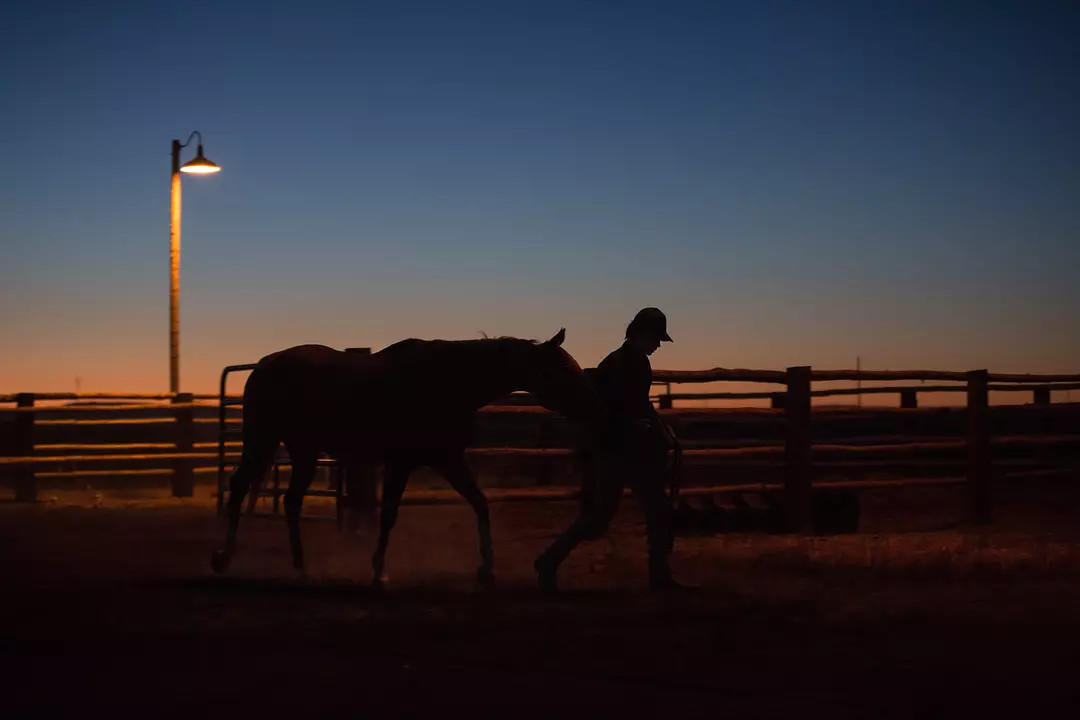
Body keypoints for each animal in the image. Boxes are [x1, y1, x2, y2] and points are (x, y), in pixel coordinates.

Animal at [208, 330, 600, 587]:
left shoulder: (448, 461)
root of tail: (264, 364)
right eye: (563, 369)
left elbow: (480, 503)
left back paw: (300, 566)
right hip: (262, 441)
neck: (445, 383)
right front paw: (379, 571)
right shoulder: (400, 464)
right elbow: (389, 516)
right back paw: (224, 558)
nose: (594, 406)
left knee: (290, 501)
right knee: (240, 486)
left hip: (303, 451)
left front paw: (487, 569)